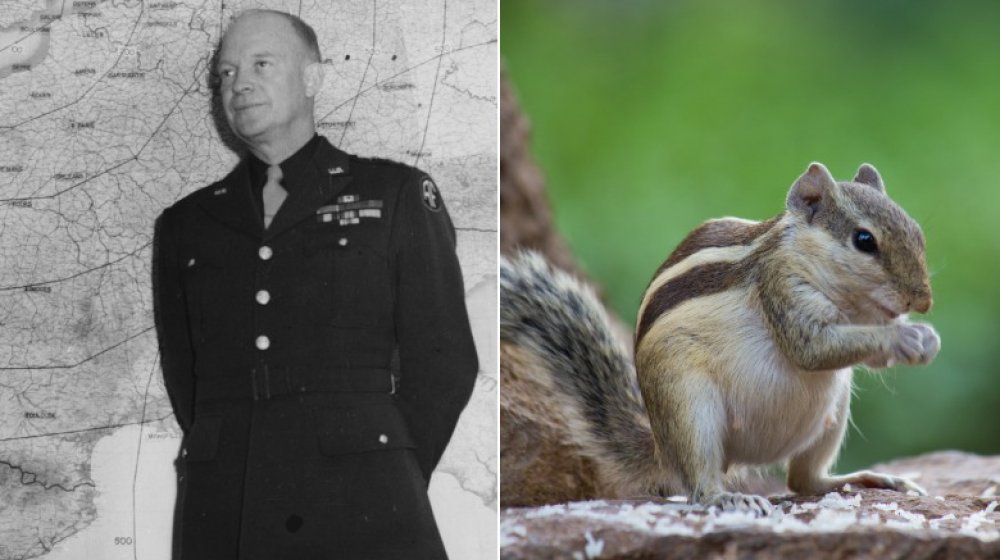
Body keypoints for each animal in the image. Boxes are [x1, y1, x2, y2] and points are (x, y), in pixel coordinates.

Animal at [504, 161, 940, 512]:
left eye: (918, 232)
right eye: (864, 241)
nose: (923, 300)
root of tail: (661, 447)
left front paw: (926, 339)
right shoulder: (781, 289)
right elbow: (812, 349)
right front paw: (906, 338)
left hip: (833, 412)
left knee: (803, 481)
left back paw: (864, 479)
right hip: (688, 406)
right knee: (699, 487)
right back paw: (726, 497)